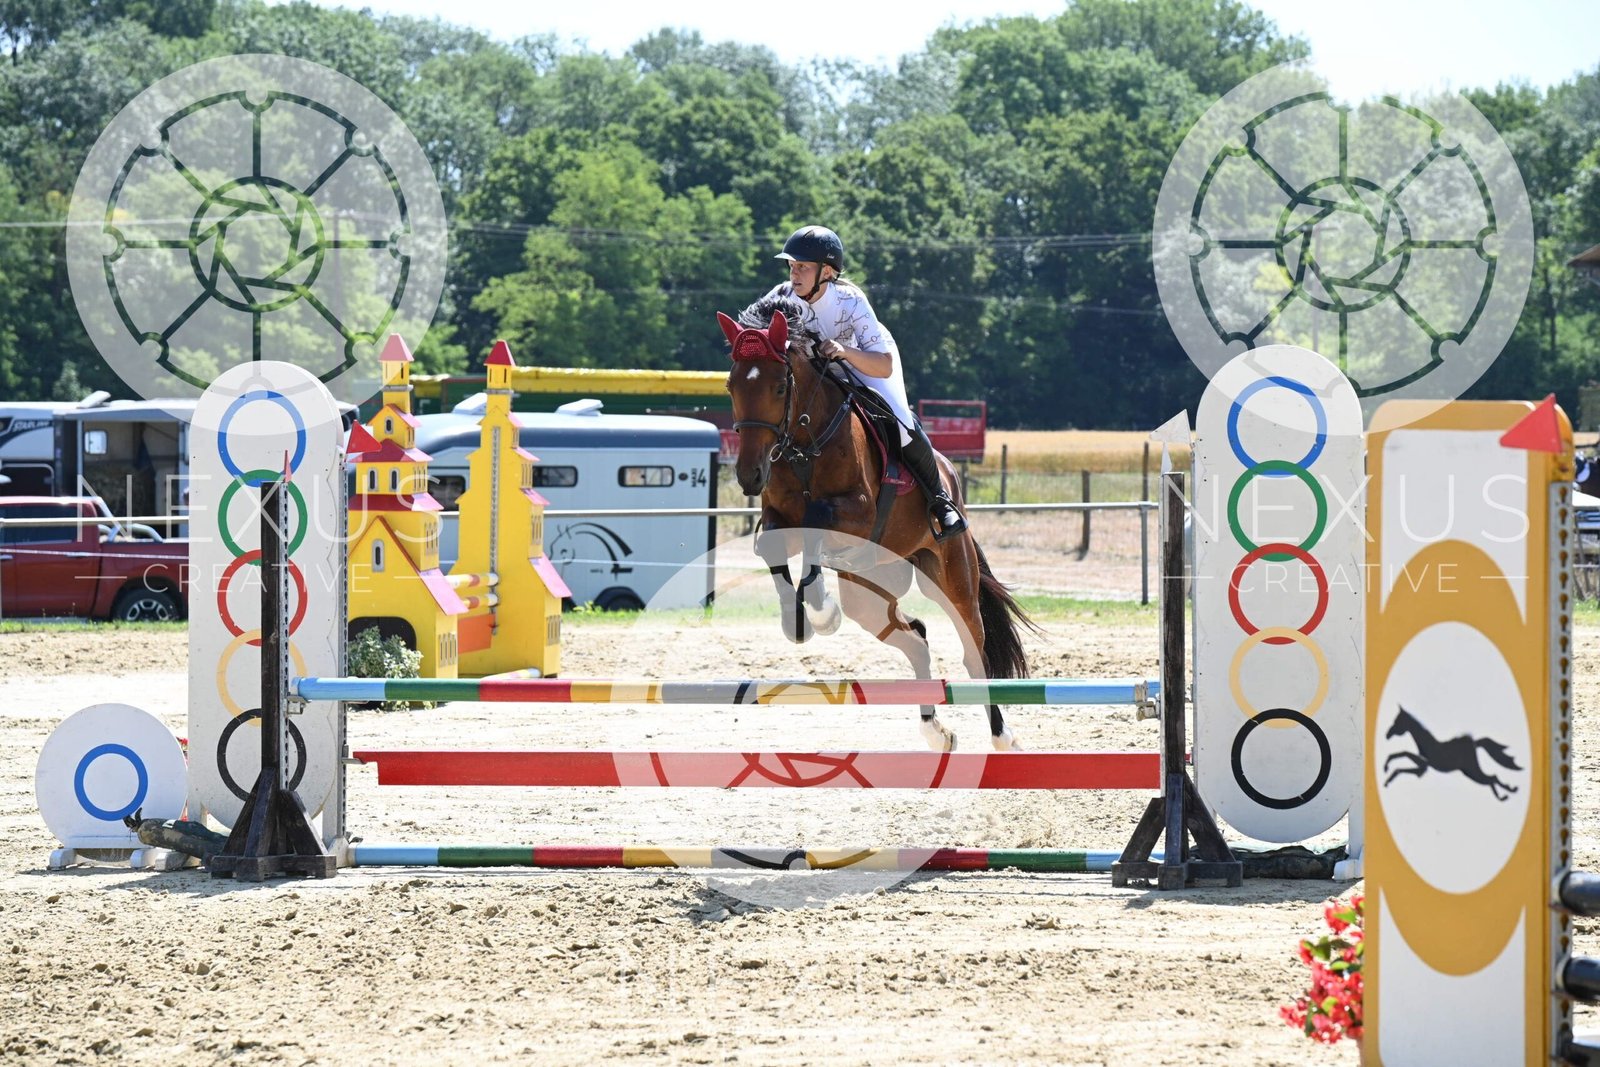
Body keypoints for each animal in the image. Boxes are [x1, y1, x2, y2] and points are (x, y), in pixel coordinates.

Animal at [717, 292, 1035, 752]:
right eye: (732, 385)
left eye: (778, 386)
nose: (749, 475)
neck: (804, 444)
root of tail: (951, 476)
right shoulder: (780, 520)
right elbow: (772, 546)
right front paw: (798, 619)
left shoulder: (860, 512)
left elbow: (818, 519)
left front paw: (820, 609)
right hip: (868, 593)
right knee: (916, 637)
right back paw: (935, 732)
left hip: (952, 576)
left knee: (973, 650)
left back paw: (1001, 735)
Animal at [1383, 706, 1522, 801]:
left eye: (1398, 721)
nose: (1387, 734)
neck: (1426, 743)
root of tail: (1475, 744)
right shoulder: (1422, 767)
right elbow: (1402, 754)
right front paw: (1386, 771)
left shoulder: (1423, 766)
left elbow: (1402, 760)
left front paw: (1387, 777)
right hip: (1469, 772)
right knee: (1492, 778)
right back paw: (1510, 791)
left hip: (1472, 770)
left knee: (1491, 778)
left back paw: (1504, 795)